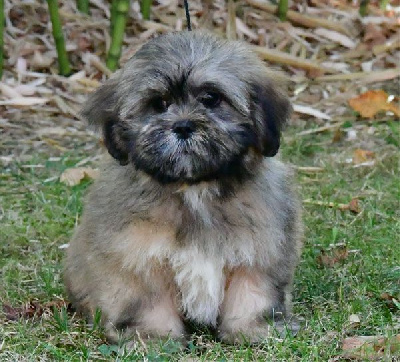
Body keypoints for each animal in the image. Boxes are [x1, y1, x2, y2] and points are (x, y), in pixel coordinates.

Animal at [64, 31, 302, 346]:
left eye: (211, 99)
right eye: (159, 104)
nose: (183, 126)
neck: (194, 188)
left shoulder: (259, 247)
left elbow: (252, 291)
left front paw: (252, 329)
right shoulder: (138, 256)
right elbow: (148, 300)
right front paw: (152, 335)